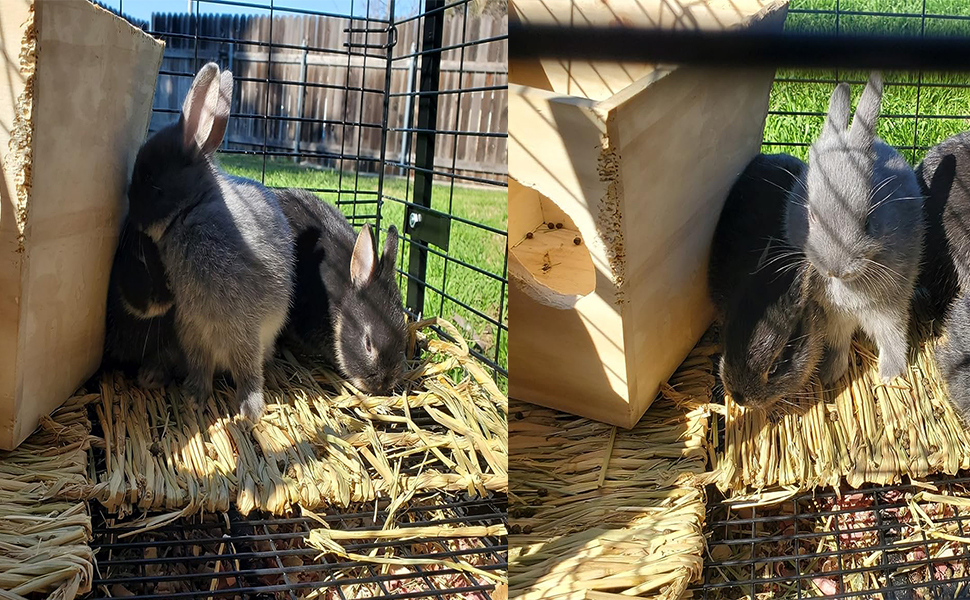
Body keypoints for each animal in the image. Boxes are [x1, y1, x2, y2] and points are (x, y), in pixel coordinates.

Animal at [126, 62, 295, 421]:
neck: (191, 211)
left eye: (149, 179)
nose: (131, 215)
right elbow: (199, 364)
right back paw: (152, 375)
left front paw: (250, 409)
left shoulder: (243, 328)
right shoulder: (192, 328)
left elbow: (247, 369)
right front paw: (194, 396)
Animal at [786, 72, 924, 385]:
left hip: (890, 309)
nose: (836, 270)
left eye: (867, 221)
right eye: (811, 215)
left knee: (892, 338)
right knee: (840, 345)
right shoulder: (832, 314)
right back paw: (829, 374)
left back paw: (889, 375)